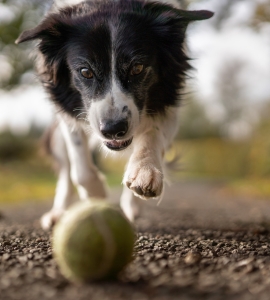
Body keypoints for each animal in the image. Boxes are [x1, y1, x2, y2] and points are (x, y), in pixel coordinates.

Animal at [15, 0, 214, 230]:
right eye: (85, 72)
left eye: (137, 68)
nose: (113, 130)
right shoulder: (67, 112)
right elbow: (80, 168)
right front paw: (97, 195)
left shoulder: (169, 102)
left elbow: (152, 134)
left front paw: (145, 172)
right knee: (66, 171)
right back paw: (58, 213)